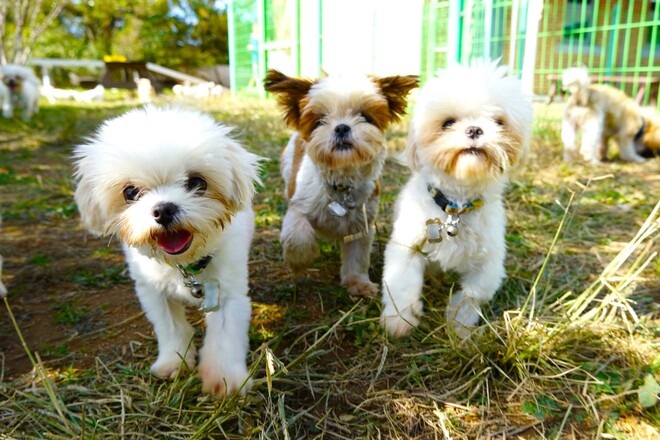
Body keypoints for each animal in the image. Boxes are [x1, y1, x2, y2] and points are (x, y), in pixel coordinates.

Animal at [70, 106, 260, 396]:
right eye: (130, 192)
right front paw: (174, 361)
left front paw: (225, 379)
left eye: (196, 182)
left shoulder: (227, 293)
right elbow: (171, 329)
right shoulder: (153, 290)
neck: (184, 265)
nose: (163, 209)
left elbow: (225, 335)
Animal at [264, 69, 416, 298]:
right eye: (320, 120)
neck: (341, 185)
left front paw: (358, 283)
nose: (342, 127)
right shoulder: (299, 206)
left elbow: (358, 256)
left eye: (365, 116)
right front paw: (299, 262)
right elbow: (298, 236)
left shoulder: (362, 223)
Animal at [378, 61, 532, 336]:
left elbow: (472, 294)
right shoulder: (407, 249)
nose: (475, 129)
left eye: (499, 122)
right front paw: (399, 321)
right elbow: (402, 286)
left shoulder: (489, 263)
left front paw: (459, 325)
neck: (455, 208)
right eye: (448, 122)